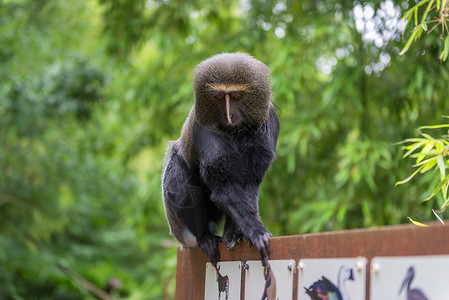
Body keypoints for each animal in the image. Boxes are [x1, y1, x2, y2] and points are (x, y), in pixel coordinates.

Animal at [161, 52, 278, 268]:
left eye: (237, 96)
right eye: (218, 98)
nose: (229, 116)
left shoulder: (269, 121)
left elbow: (249, 184)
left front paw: (237, 234)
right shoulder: (202, 126)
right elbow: (223, 189)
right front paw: (256, 231)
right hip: (178, 222)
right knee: (180, 180)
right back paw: (205, 237)